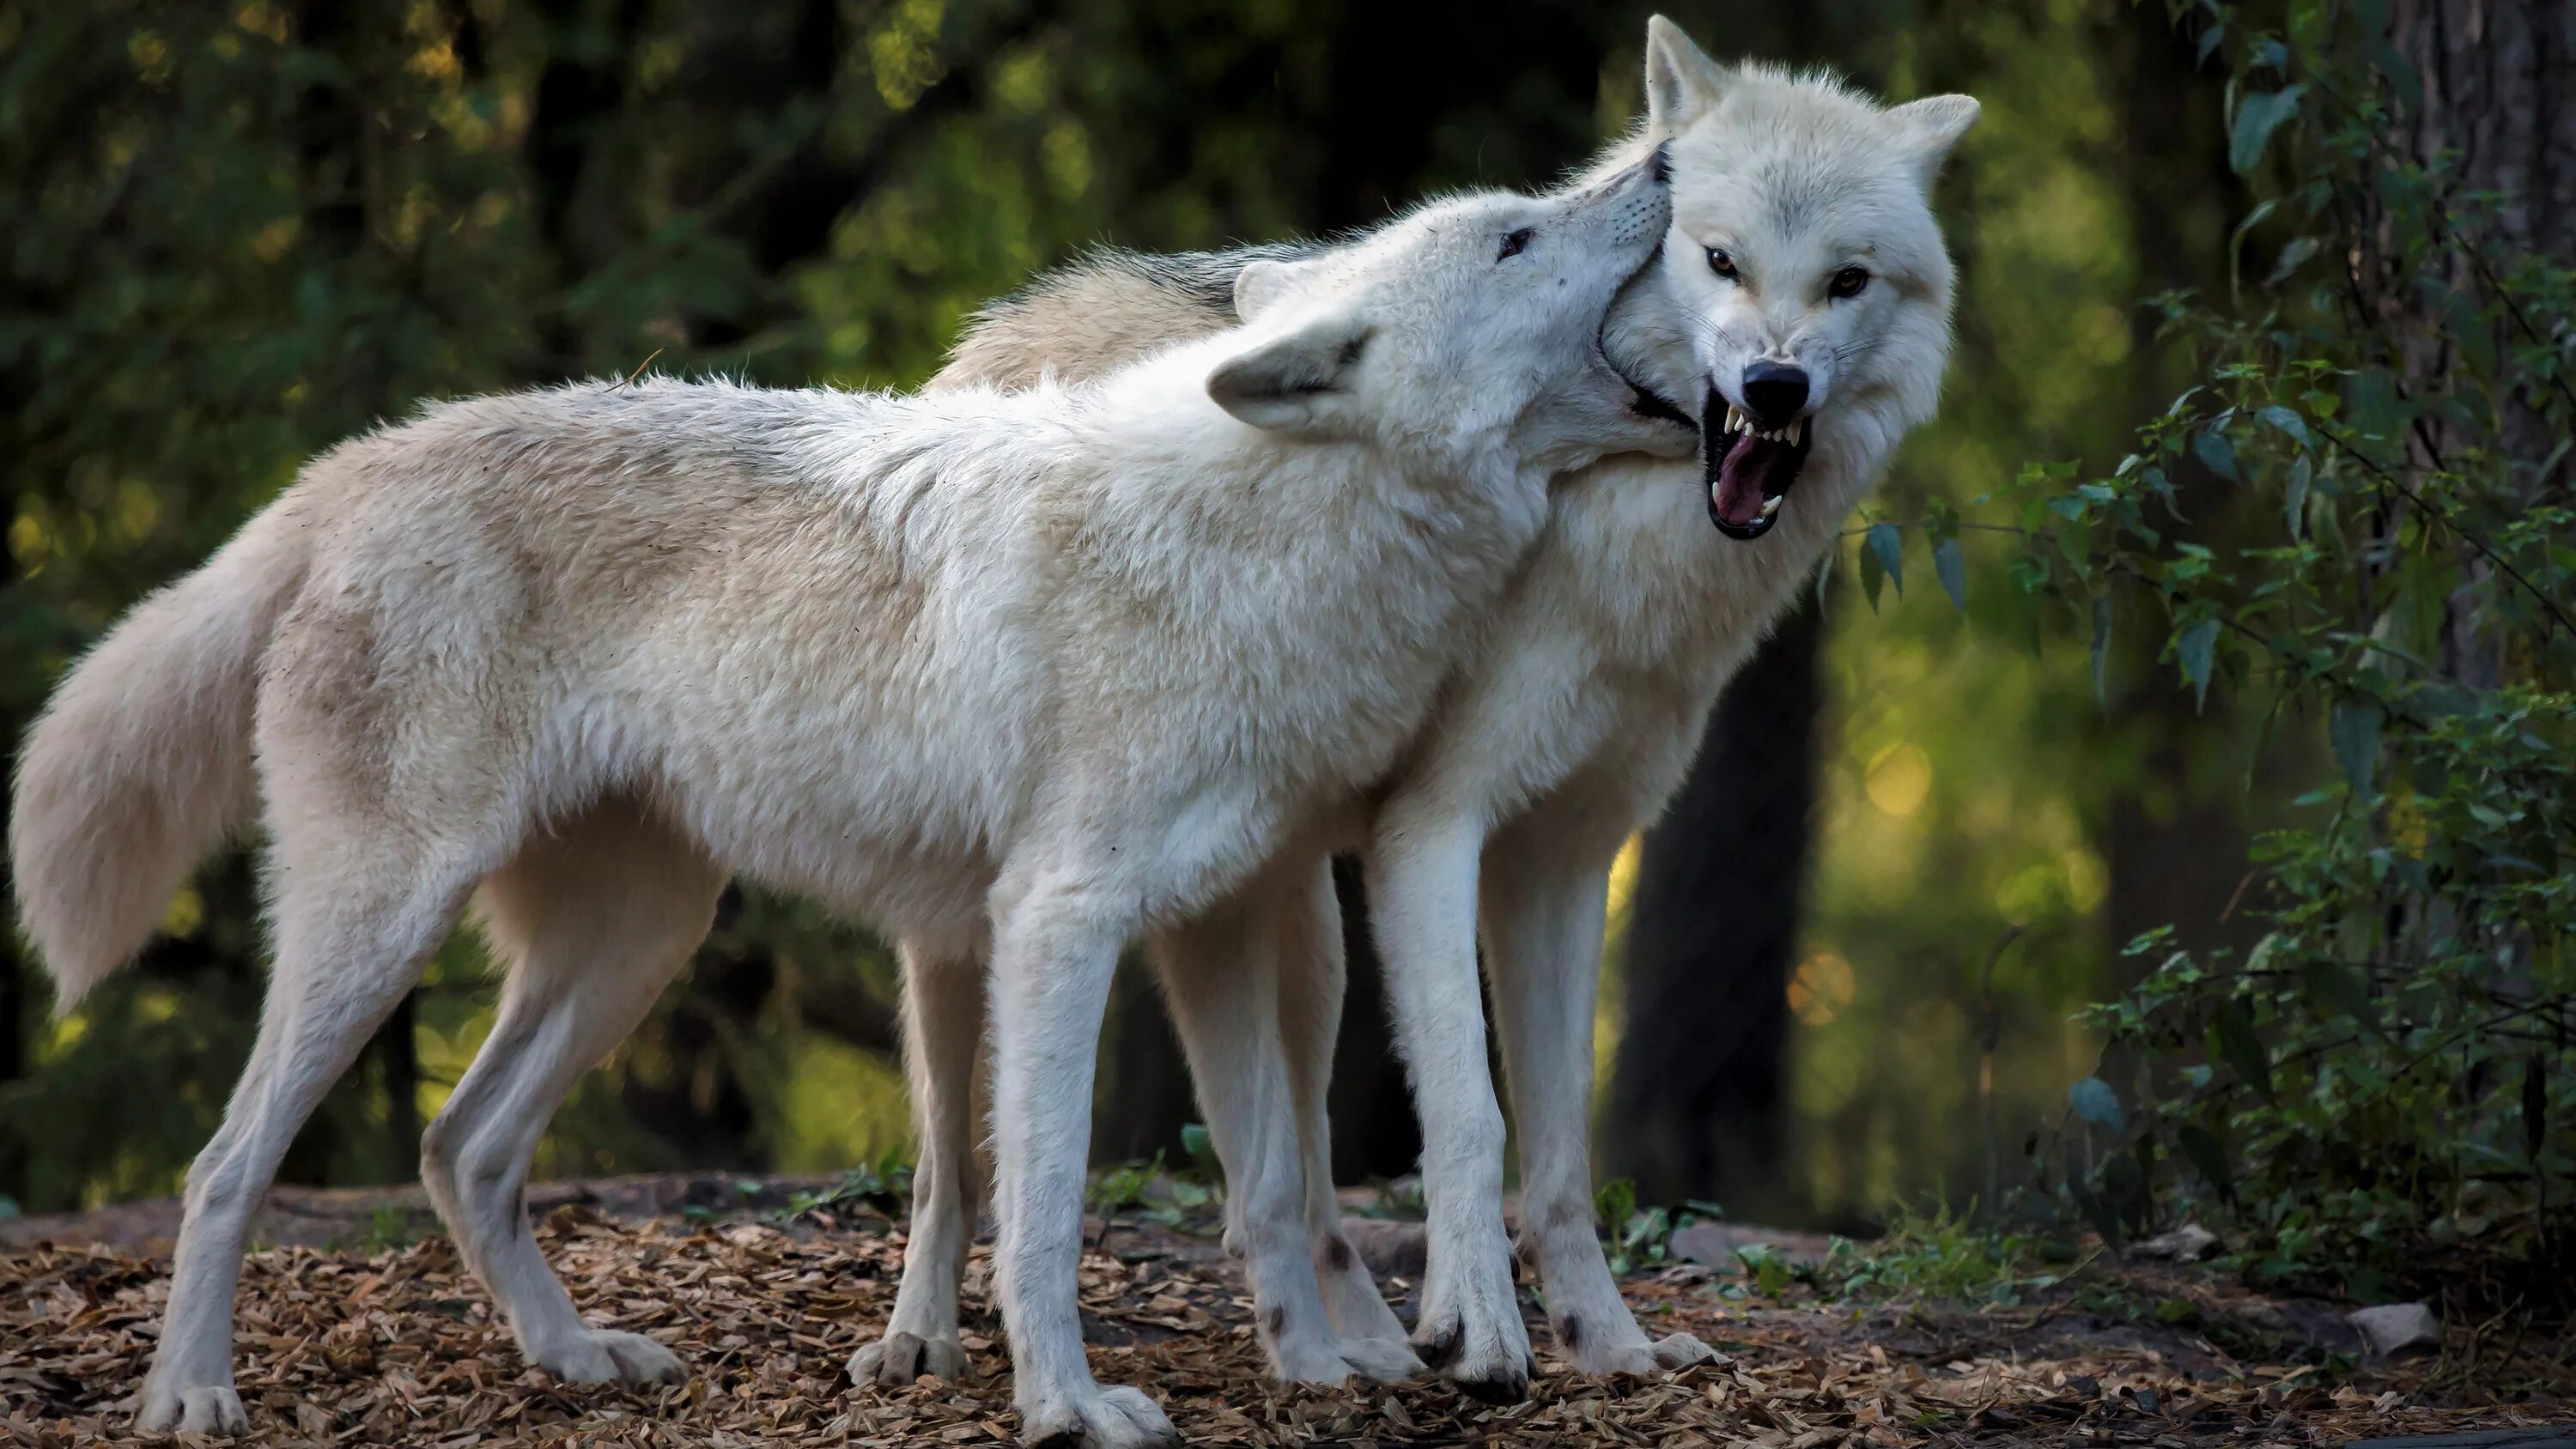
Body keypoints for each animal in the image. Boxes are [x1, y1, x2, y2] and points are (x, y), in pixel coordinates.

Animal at [4, 159, 1690, 1441]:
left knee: (457, 1150)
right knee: (225, 1168)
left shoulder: (1217, 919)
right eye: (1517, 234)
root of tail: (348, 469)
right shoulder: (1058, 924)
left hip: (637, 939)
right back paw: (190, 1398)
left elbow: (1273, 1181)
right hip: (382, 930)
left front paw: (1324, 1371)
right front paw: (1072, 1407)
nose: (1666, 168)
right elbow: (1048, 1197)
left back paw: (577, 1361)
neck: (1259, 541)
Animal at [876, 14, 1978, 1410]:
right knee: (951, 1159)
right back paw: (921, 1335)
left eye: (1847, 281)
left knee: (1289, 1179)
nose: (1775, 387)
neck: (1612, 540)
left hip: (1298, 931)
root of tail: (1006, 327)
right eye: (1718, 259)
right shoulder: (1434, 831)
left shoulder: (1564, 858)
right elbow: (1469, 1113)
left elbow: (1557, 1151)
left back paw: (1362, 1342)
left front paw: (1606, 1343)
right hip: (994, 929)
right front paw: (1490, 1336)